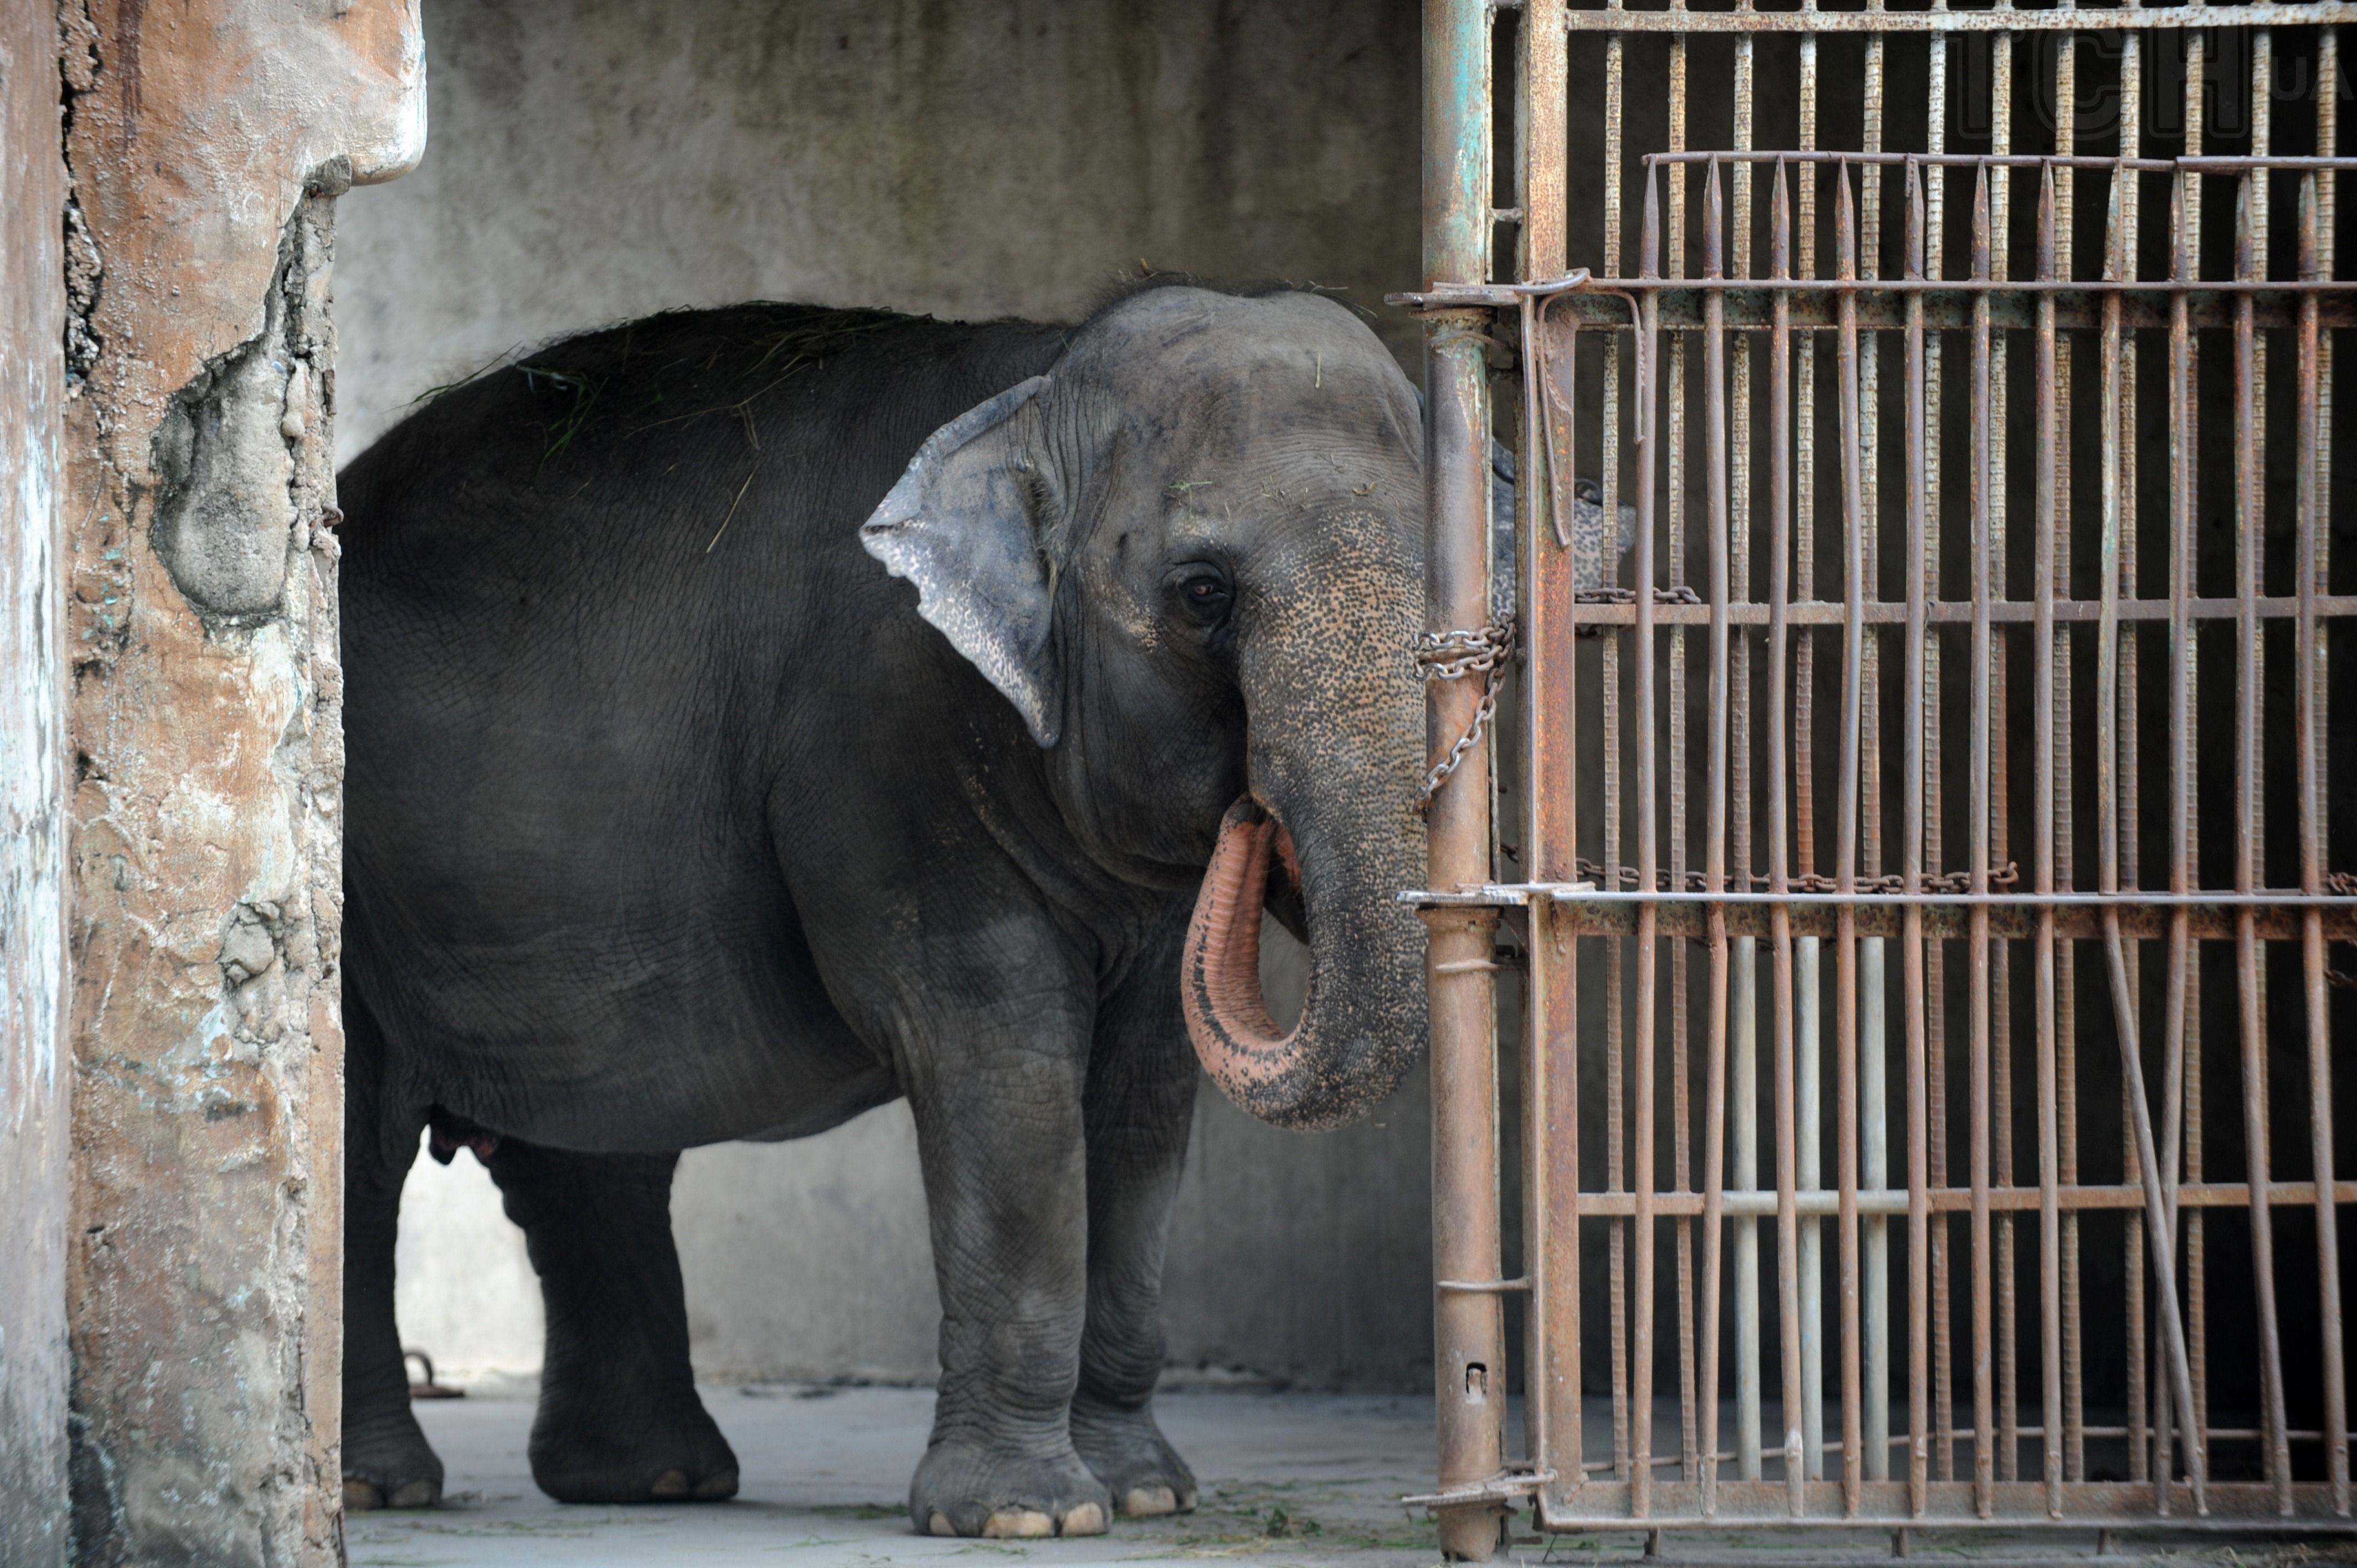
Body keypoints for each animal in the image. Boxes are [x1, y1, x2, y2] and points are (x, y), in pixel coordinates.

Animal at [327, 281, 1433, 1528]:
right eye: (1205, 593)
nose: (1252, 812)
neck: (1035, 385)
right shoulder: (888, 754)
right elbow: (1005, 1063)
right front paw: (1026, 1515)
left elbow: (1144, 1091)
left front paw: (1145, 1495)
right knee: (368, 1149)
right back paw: (381, 1488)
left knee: (596, 1148)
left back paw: (655, 1480)